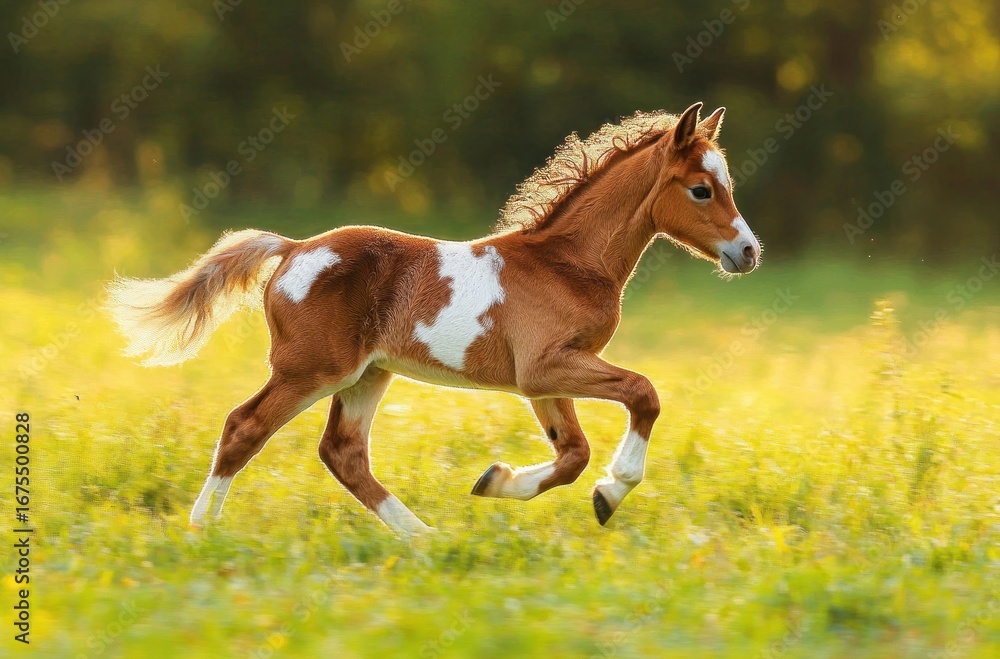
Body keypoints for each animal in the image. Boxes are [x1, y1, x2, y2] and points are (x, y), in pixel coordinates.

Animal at [107, 102, 761, 536]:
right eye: (701, 190)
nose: (749, 252)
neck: (566, 262)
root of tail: (293, 249)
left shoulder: (542, 377)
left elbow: (573, 453)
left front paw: (497, 482)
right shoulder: (547, 365)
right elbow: (643, 394)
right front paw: (612, 490)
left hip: (367, 375)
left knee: (343, 452)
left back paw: (424, 541)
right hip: (311, 370)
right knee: (245, 426)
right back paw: (201, 531)